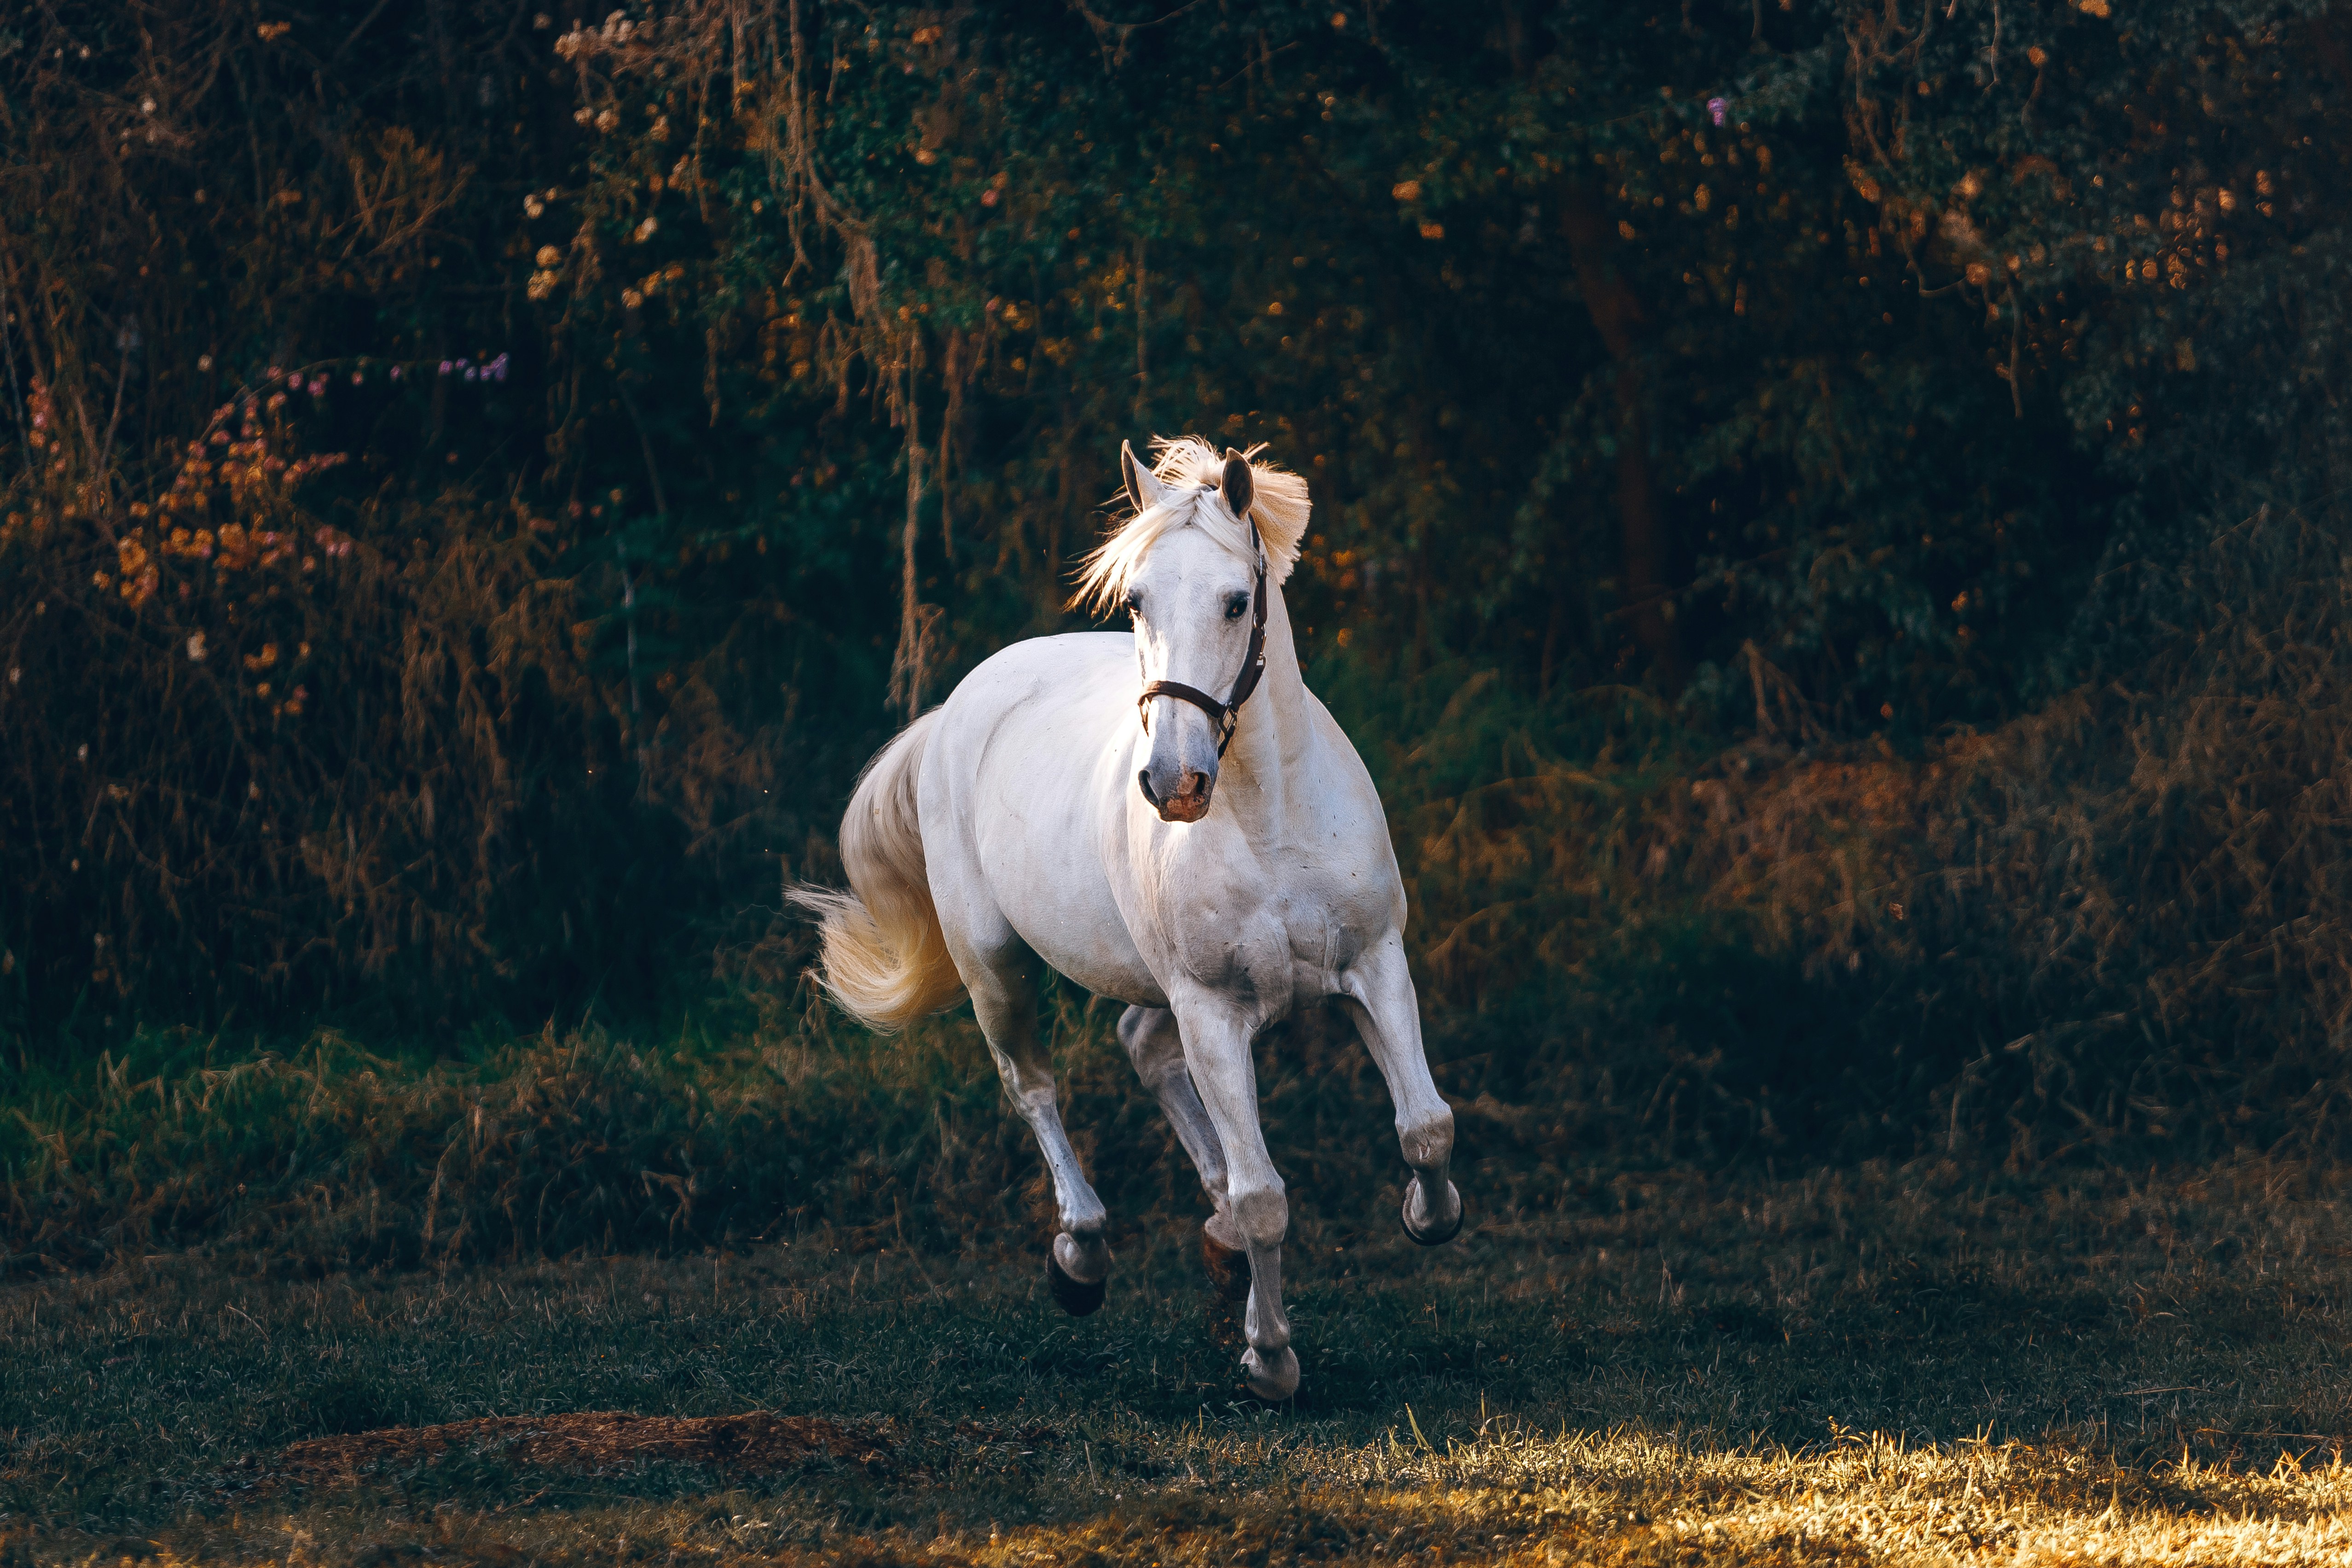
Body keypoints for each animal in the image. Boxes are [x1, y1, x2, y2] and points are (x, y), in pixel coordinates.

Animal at [795, 435, 1461, 1401]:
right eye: (1138, 599)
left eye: (1236, 601)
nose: (1172, 783)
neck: (1270, 819)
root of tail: (961, 705)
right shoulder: (1213, 1009)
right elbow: (1266, 1197)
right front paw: (1270, 1358)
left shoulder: (1375, 965)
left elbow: (1425, 1126)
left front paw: (1423, 1214)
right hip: (995, 965)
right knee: (1033, 1086)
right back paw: (1081, 1255)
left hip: (1154, 984)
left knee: (1142, 1047)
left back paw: (1210, 1237)